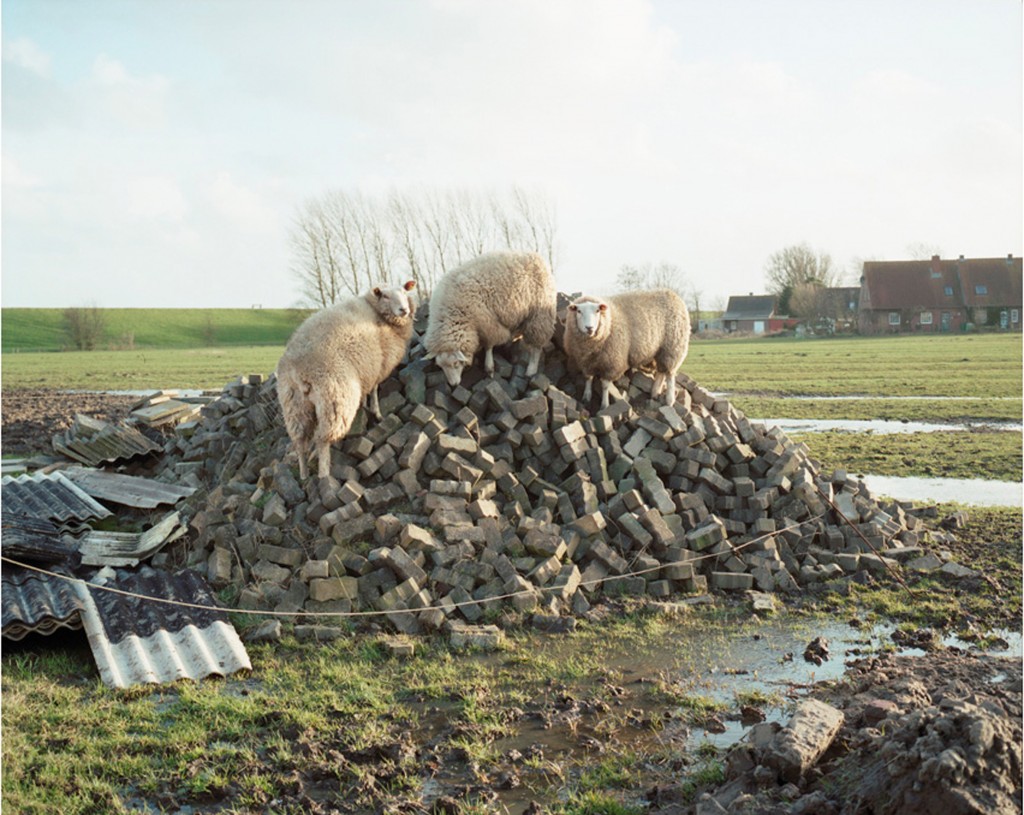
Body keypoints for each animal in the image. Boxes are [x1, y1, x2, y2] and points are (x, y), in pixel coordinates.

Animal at [276, 281, 416, 480]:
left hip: (294, 406)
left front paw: (365, 405)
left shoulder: (367, 369)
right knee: (322, 439)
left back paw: (303, 474)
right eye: (385, 296)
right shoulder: (379, 364)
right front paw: (376, 412)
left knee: (300, 442)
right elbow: (374, 389)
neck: (376, 311)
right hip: (335, 400)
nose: (403, 310)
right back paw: (324, 474)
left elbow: (368, 390)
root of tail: (299, 372)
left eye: (405, 292)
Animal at [423, 251, 557, 387]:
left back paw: (531, 370)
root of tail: (536, 256)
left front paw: (489, 367)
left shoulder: (488, 323)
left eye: (455, 363)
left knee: (537, 345)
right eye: (440, 366)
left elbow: (489, 345)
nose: (454, 384)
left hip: (539, 313)